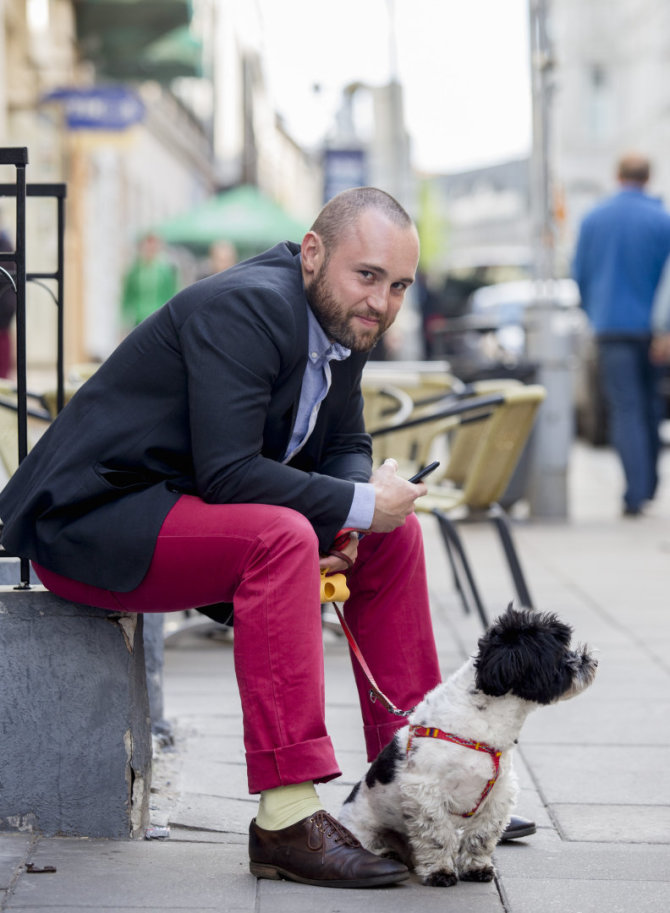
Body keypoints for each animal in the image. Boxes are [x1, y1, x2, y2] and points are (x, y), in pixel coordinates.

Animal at [342, 604, 600, 884]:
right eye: (561, 653)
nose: (590, 660)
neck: (482, 720)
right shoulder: (425, 792)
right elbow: (436, 837)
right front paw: (440, 871)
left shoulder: (498, 794)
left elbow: (481, 837)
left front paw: (476, 868)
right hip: (364, 828)